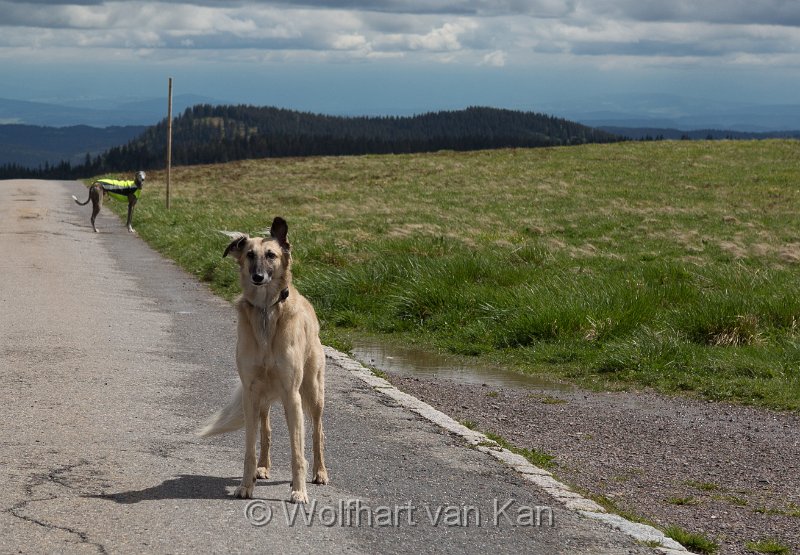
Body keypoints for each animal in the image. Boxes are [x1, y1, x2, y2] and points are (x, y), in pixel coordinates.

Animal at [200, 217, 328, 504]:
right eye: (249, 254)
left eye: (271, 255)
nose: (258, 277)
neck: (266, 313)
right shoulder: (250, 393)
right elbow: (250, 446)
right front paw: (246, 485)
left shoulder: (292, 394)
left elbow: (297, 451)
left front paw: (298, 490)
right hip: (263, 399)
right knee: (266, 431)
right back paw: (263, 467)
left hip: (313, 393)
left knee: (317, 433)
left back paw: (320, 472)